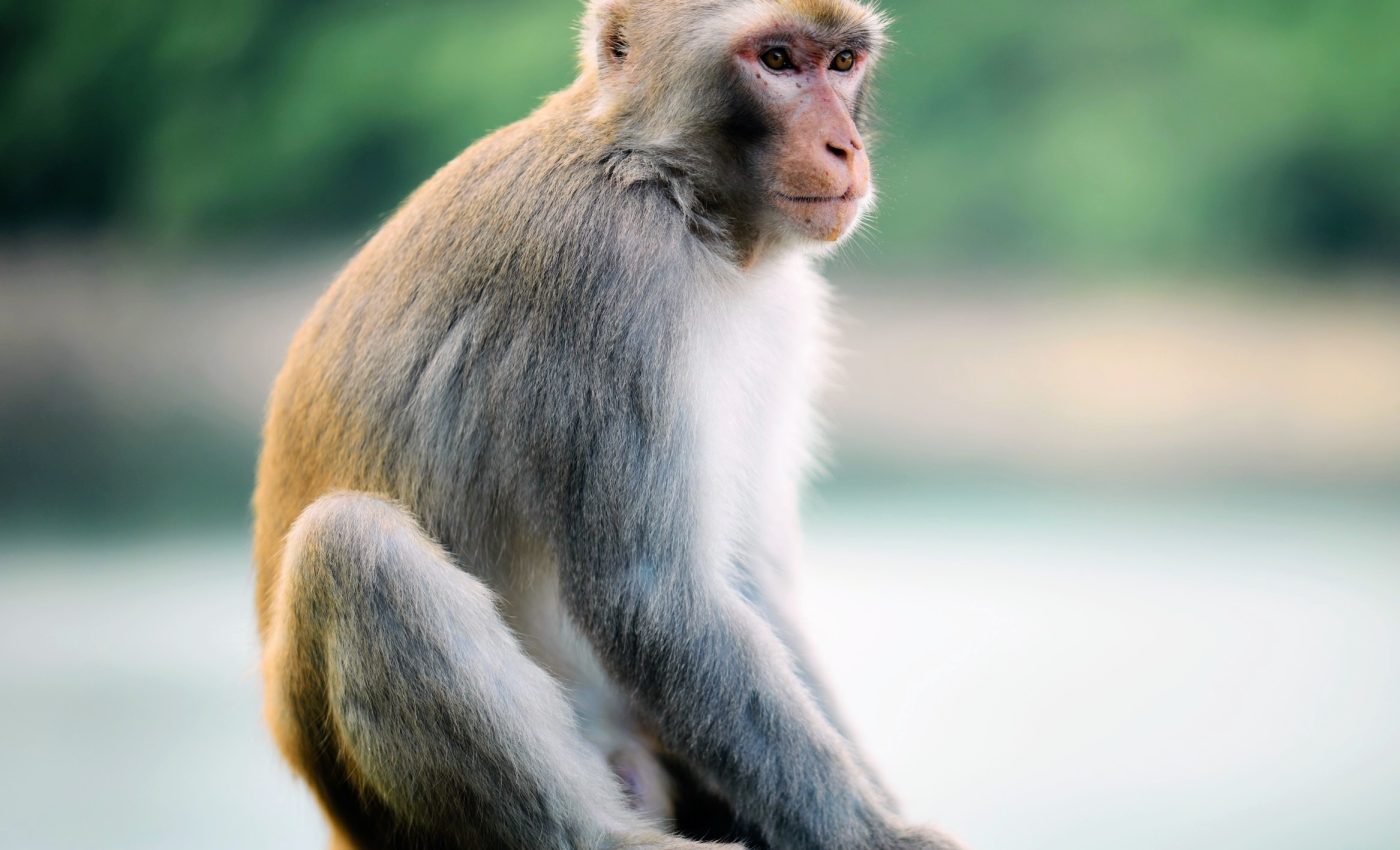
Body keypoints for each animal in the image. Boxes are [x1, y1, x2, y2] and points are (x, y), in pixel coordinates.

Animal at [252, 1, 970, 848]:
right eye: (778, 60)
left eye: (844, 62)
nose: (844, 146)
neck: (671, 187)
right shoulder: (613, 274)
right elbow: (651, 600)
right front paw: (876, 836)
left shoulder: (781, 309)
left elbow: (744, 573)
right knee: (354, 547)